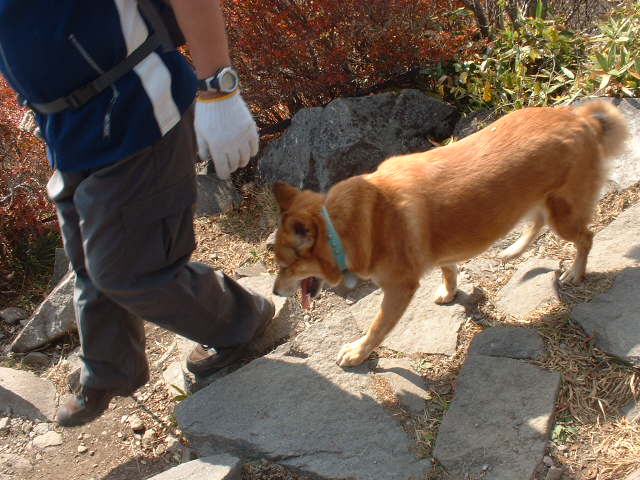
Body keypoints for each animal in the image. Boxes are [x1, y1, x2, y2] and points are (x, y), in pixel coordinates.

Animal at [272, 99, 628, 366]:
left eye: (285, 266)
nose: (274, 293)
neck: (344, 225)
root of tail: (580, 117)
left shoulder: (398, 290)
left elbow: (376, 328)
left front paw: (358, 352)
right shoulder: (439, 250)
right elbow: (448, 268)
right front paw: (450, 291)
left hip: (563, 216)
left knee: (585, 238)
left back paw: (575, 272)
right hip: (540, 204)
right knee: (537, 224)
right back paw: (513, 250)